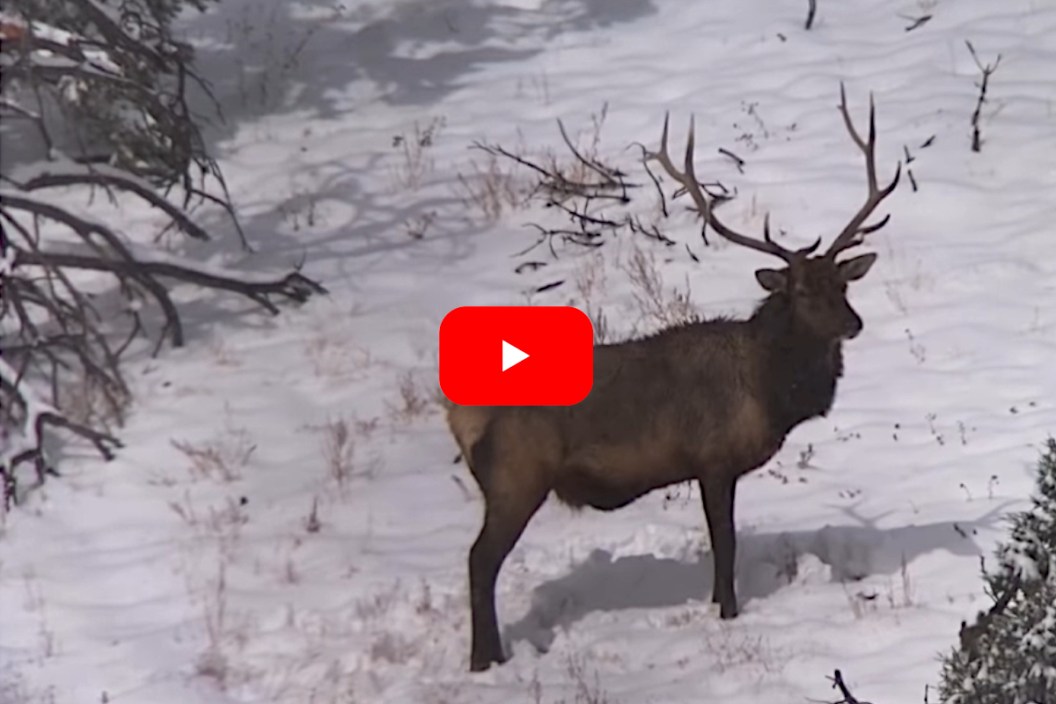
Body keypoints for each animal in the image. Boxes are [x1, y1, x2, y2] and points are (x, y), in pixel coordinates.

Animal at [445, 84, 901, 672]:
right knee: (479, 561)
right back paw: (485, 661)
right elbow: (724, 543)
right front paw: (727, 612)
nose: (854, 324)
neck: (770, 390)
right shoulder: (714, 458)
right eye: (801, 291)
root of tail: (458, 411)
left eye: (843, 286)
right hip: (516, 476)